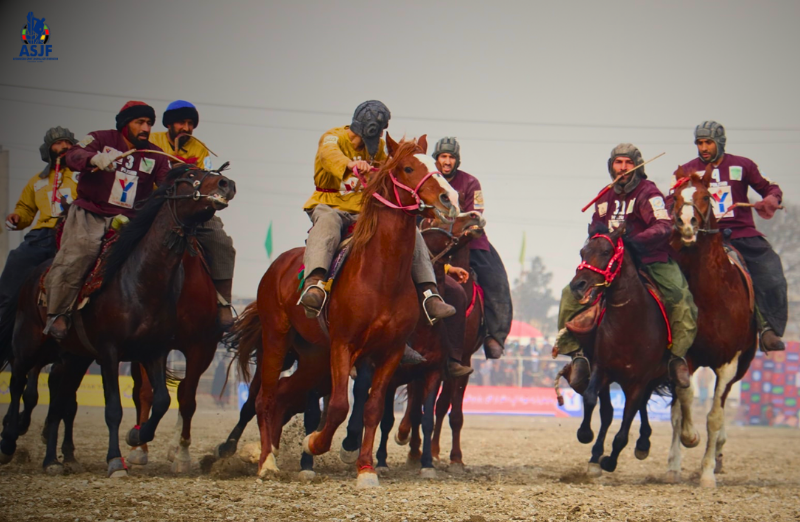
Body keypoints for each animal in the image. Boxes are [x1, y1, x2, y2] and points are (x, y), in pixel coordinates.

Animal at [0, 165, 235, 477]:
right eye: (191, 178)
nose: (226, 183)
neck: (139, 281)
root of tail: (34, 276)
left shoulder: (173, 349)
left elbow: (168, 399)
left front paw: (145, 439)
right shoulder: (110, 352)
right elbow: (117, 406)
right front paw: (118, 459)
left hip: (72, 356)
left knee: (59, 400)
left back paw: (53, 459)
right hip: (29, 344)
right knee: (18, 383)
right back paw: (9, 440)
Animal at [252, 135, 459, 487]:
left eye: (434, 163)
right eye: (408, 168)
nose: (449, 198)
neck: (381, 275)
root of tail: (276, 267)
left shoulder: (390, 352)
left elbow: (373, 409)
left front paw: (366, 469)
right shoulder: (342, 345)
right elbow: (338, 406)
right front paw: (314, 443)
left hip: (312, 356)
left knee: (282, 394)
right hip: (276, 337)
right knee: (265, 396)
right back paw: (266, 462)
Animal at [568, 223, 693, 474]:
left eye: (606, 251)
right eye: (582, 252)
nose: (578, 286)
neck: (629, 323)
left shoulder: (639, 380)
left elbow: (625, 425)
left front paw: (610, 460)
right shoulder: (602, 369)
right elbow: (593, 401)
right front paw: (587, 437)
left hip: (651, 379)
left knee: (639, 407)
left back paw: (642, 443)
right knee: (614, 412)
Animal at [668, 165, 758, 487]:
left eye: (706, 196)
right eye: (673, 197)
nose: (686, 224)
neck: (711, 296)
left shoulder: (729, 363)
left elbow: (715, 417)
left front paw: (707, 473)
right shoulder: (684, 356)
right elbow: (684, 402)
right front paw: (689, 438)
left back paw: (717, 453)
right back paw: (673, 466)